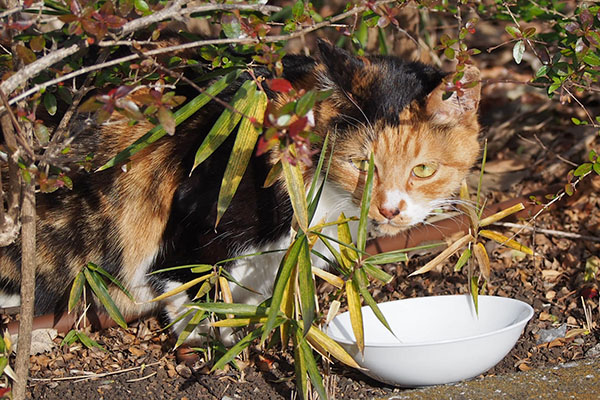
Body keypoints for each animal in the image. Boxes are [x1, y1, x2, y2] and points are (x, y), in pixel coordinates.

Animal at [0, 39, 480, 342]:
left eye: (423, 169)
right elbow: (191, 284)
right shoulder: (196, 223)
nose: (388, 209)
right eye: (361, 163)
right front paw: (215, 339)